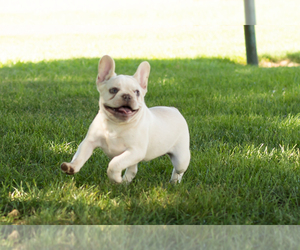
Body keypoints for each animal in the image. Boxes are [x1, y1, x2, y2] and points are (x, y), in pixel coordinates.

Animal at [61, 55, 190, 184]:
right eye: (113, 90)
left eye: (137, 92)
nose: (127, 96)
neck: (116, 125)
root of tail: (174, 109)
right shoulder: (89, 142)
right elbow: (80, 156)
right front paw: (71, 167)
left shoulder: (134, 151)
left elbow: (115, 163)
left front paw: (115, 178)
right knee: (132, 170)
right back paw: (126, 182)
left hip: (181, 159)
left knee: (178, 170)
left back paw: (174, 182)